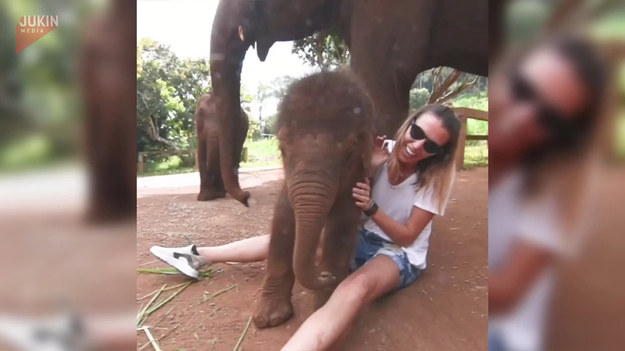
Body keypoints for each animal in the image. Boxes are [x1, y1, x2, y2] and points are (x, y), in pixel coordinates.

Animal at [252, 72, 370, 330]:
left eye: (350, 151)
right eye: (282, 148)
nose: (326, 275)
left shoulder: (357, 178)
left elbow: (342, 225)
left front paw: (324, 308)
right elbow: (283, 219)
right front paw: (270, 318)